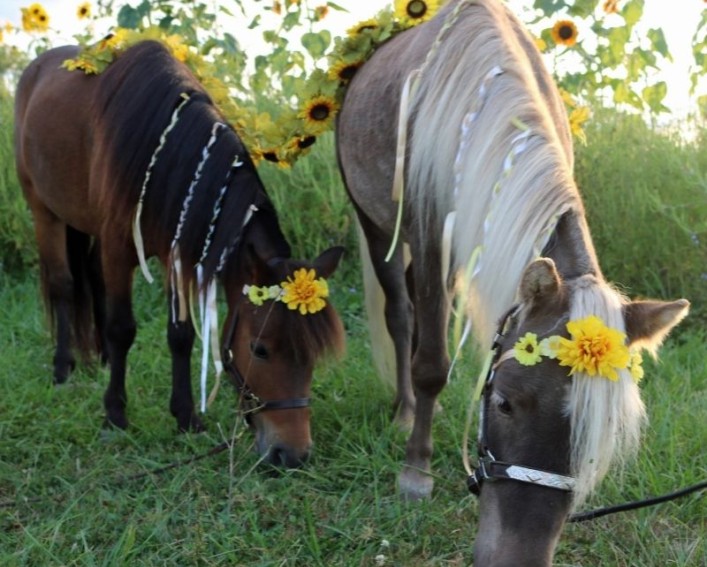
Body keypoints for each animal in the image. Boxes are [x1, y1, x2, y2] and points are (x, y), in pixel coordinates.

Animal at [14, 40, 345, 469]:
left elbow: (181, 335)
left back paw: (101, 359)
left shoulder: (177, 253)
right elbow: (123, 328)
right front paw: (115, 414)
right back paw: (62, 369)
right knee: (64, 286)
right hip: (45, 211)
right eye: (260, 350)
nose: (292, 454)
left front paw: (186, 417)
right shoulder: (120, 247)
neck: (162, 148)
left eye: (313, 356)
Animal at [336, 0, 688, 563]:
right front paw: (415, 472)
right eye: (502, 401)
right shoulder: (429, 232)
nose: (517, 558)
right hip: (377, 224)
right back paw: (405, 412)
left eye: (603, 431)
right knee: (400, 310)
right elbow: (431, 364)